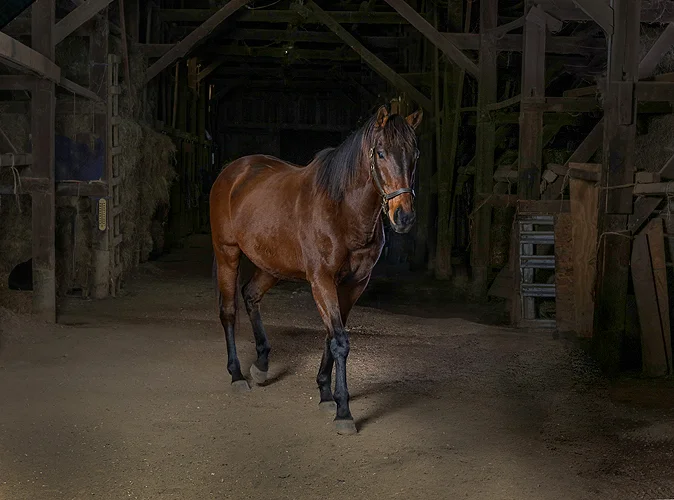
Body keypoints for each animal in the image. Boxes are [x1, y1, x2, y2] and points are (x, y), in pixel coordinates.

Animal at [209, 105, 423, 435]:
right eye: (381, 153)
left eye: (415, 155)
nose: (403, 216)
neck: (342, 210)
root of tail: (232, 172)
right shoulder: (321, 280)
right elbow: (339, 340)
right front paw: (343, 411)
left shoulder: (354, 284)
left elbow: (331, 335)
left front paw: (325, 393)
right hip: (227, 254)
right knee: (229, 310)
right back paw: (237, 375)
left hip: (272, 265)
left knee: (250, 295)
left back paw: (261, 364)